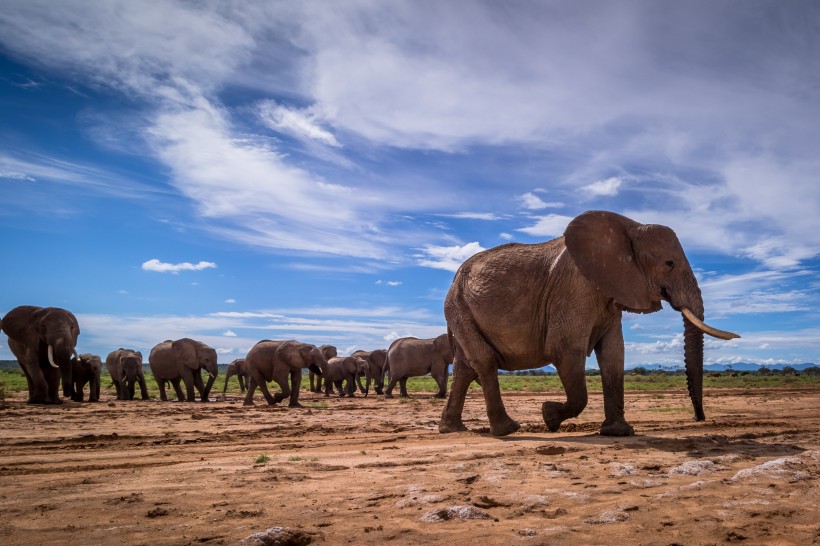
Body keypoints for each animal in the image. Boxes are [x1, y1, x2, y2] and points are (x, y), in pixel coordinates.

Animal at [438, 207, 740, 434]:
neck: (631, 228)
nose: (698, 418)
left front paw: (618, 432)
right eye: (669, 264)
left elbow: (613, 354)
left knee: (466, 367)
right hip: (458, 307)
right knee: (485, 362)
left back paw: (452, 429)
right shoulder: (575, 289)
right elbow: (564, 349)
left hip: (462, 310)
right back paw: (508, 429)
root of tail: (453, 280)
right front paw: (549, 416)